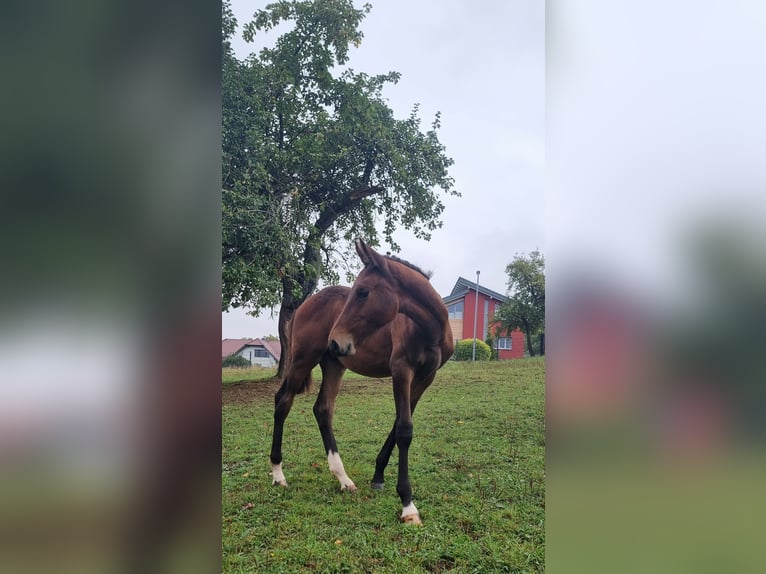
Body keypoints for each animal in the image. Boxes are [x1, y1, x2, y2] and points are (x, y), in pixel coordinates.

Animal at [269, 238, 454, 525]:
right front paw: (408, 505)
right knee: (283, 402)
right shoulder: (401, 372)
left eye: (364, 292)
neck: (428, 329)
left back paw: (344, 479)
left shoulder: (425, 378)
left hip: (334, 365)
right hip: (302, 359)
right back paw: (278, 474)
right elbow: (404, 430)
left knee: (322, 409)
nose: (335, 340)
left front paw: (378, 476)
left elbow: (399, 424)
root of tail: (303, 305)